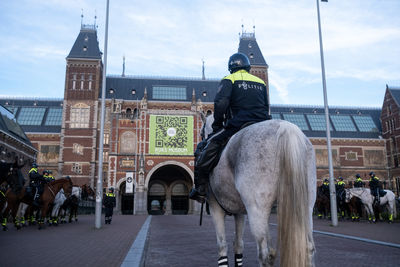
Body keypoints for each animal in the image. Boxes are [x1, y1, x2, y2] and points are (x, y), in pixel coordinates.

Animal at [202, 116, 318, 267]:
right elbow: (239, 244)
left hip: (256, 209)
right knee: (307, 248)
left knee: (264, 254)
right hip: (305, 208)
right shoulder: (240, 212)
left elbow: (222, 246)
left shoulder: (216, 208)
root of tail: (285, 127)